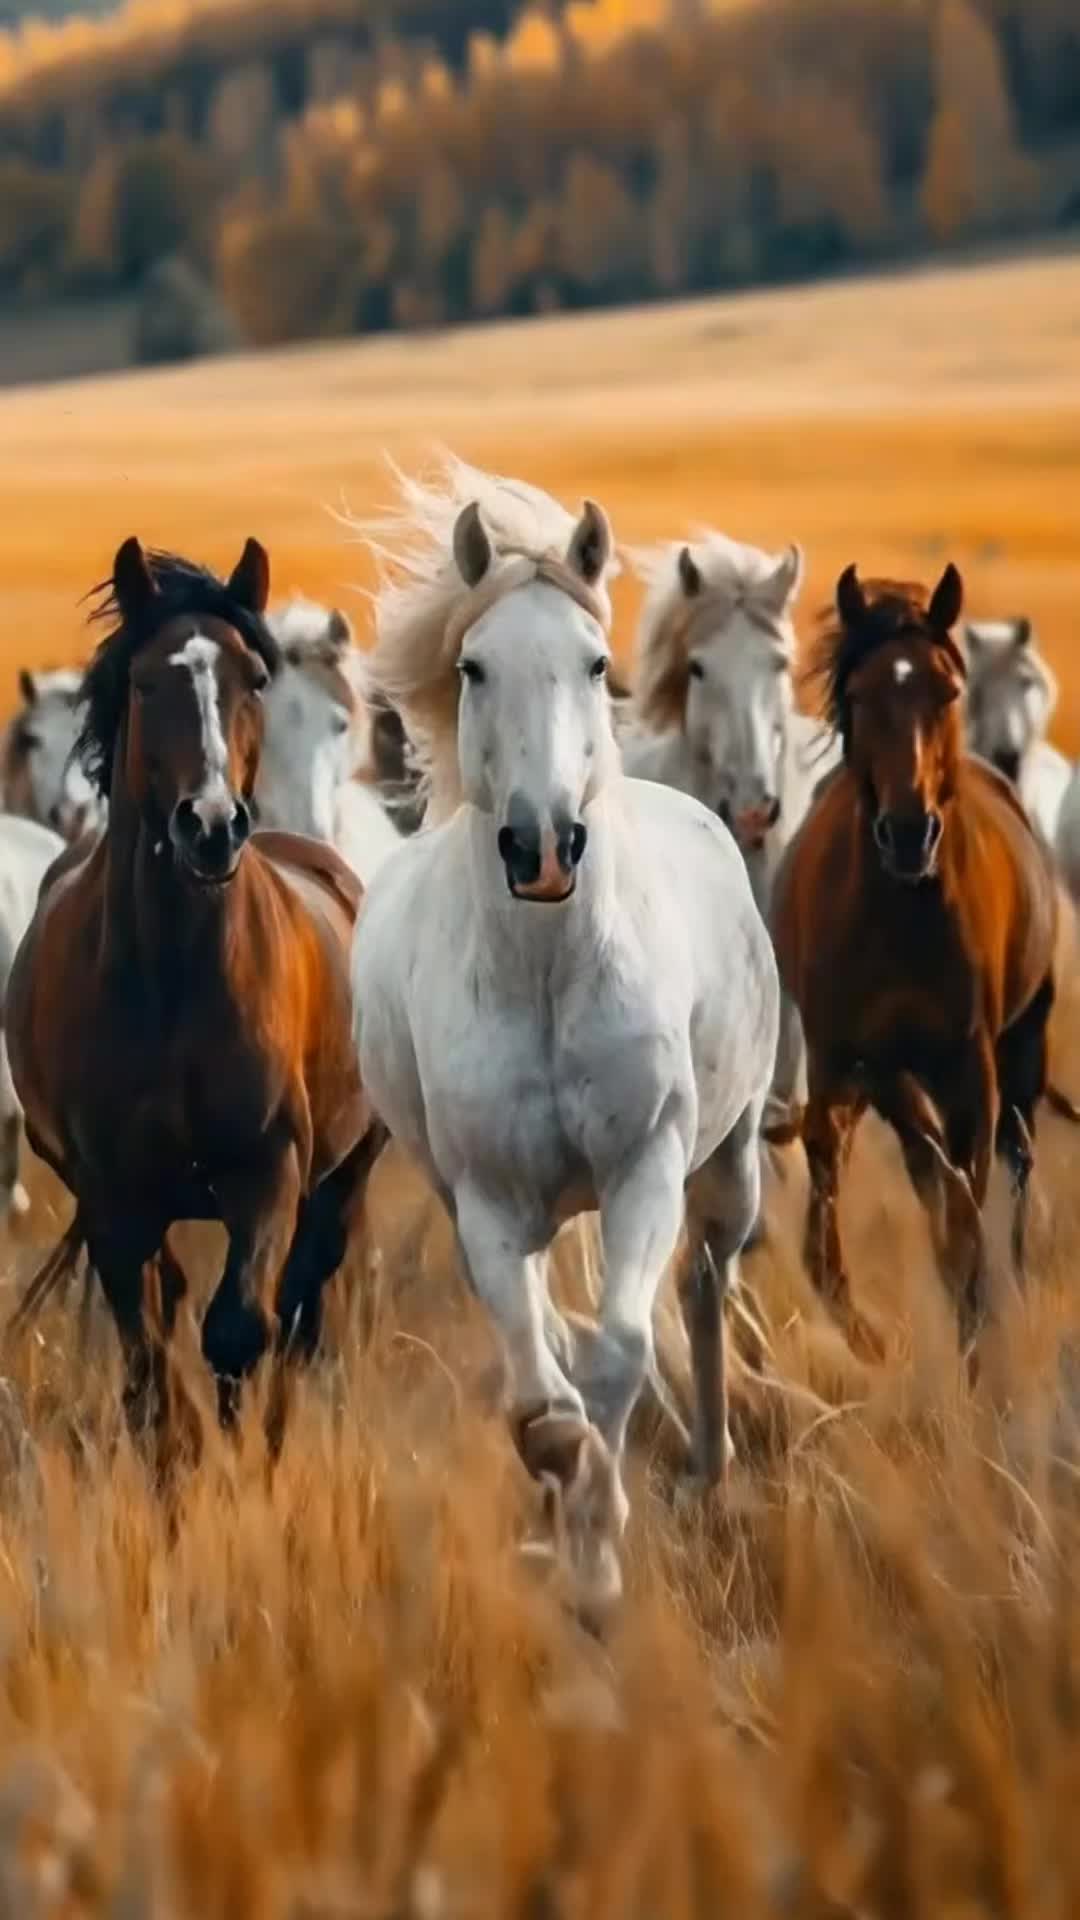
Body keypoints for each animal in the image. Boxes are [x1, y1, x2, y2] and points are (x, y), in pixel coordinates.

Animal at [348, 456, 779, 1615]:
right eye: (474, 667)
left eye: (594, 663)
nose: (542, 847)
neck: (546, 978)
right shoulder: (489, 1205)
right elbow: (543, 1407)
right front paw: (572, 1535)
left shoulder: (645, 1169)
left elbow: (623, 1352)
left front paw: (601, 1561)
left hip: (728, 1166)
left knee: (705, 1288)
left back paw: (712, 1461)